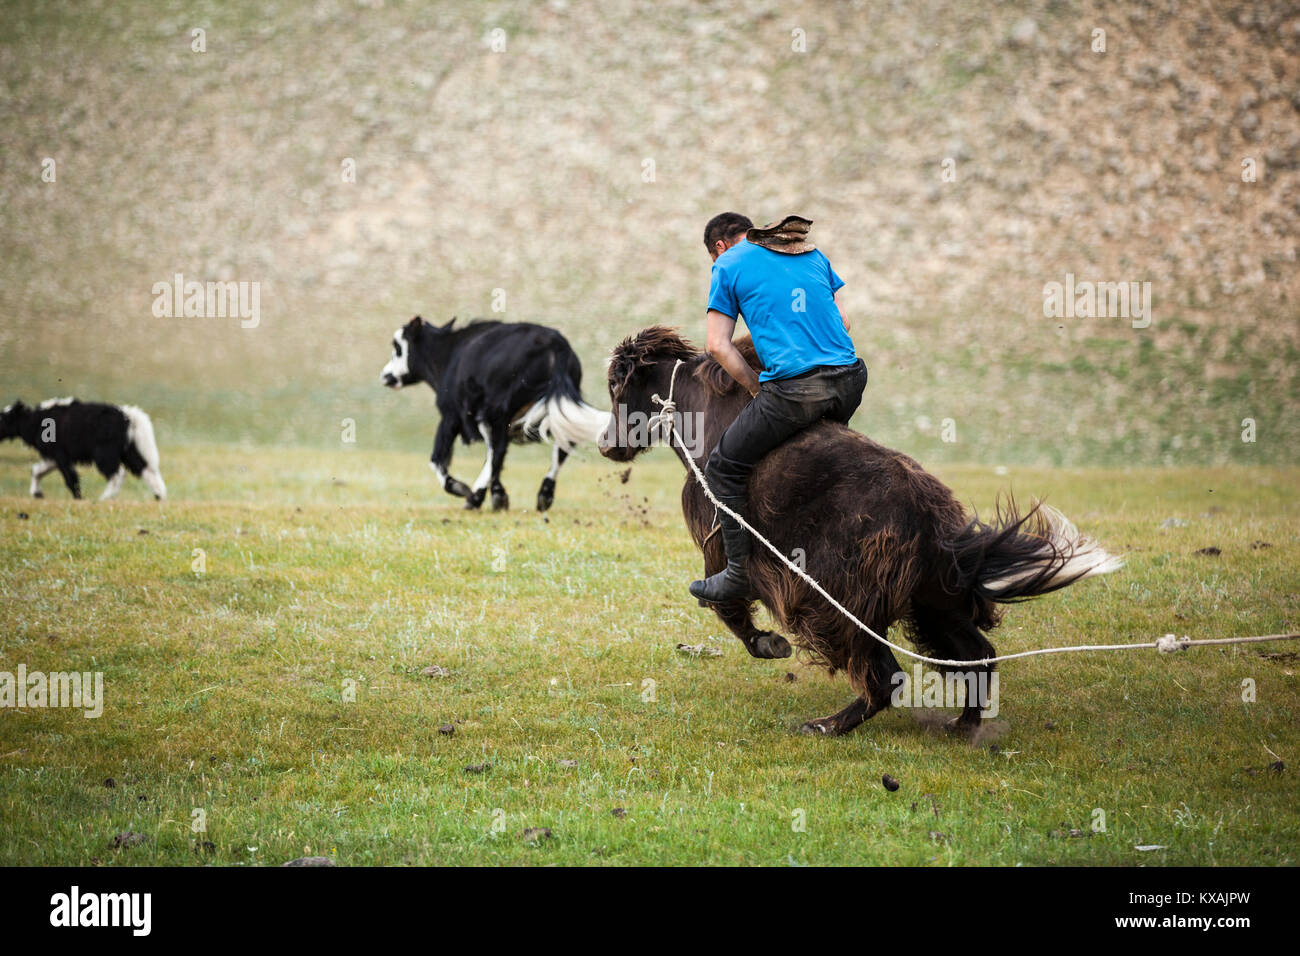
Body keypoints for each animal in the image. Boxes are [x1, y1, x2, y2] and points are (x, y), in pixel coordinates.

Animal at [0, 398, 167, 502]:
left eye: (3, 418)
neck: (35, 421)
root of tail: (128, 416)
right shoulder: (54, 456)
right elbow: (37, 470)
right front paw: (37, 494)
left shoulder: (60, 454)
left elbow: (70, 478)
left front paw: (78, 498)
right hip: (127, 451)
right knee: (146, 470)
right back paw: (159, 497)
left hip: (104, 453)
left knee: (118, 474)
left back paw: (104, 498)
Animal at [379, 317, 608, 512]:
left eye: (397, 348)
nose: (385, 376)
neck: (449, 353)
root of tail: (555, 342)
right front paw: (498, 495)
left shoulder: (450, 415)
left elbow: (438, 459)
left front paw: (462, 488)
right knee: (561, 447)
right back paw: (544, 495)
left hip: (493, 411)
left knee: (498, 452)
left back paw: (475, 497)